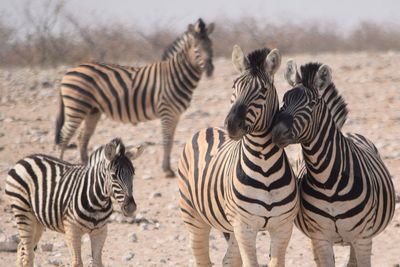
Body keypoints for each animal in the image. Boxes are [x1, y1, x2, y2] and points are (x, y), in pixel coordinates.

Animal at [5, 139, 145, 266]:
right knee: (28, 254)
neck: (98, 203)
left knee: (21, 248)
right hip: (22, 211)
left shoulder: (100, 231)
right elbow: (77, 263)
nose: (131, 208)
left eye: (133, 174)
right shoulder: (72, 230)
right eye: (114, 176)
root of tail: (24, 159)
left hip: (37, 219)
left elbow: (97, 263)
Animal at [55, 18, 216, 178]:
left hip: (92, 110)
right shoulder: (167, 111)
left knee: (82, 138)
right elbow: (167, 141)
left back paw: (86, 168)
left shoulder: (175, 114)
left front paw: (167, 168)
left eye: (211, 46)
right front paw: (167, 170)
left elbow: (170, 140)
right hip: (76, 106)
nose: (210, 69)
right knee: (64, 136)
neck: (176, 75)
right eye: (196, 48)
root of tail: (69, 71)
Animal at [179, 46, 300, 267]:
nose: (232, 125)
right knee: (202, 258)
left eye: (263, 91)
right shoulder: (245, 227)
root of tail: (209, 128)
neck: (264, 166)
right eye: (234, 86)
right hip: (193, 217)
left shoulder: (282, 227)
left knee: (229, 259)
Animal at [270, 60, 396, 267]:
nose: (277, 132)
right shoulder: (321, 237)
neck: (327, 181)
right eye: (284, 100)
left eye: (312, 104)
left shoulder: (363, 238)